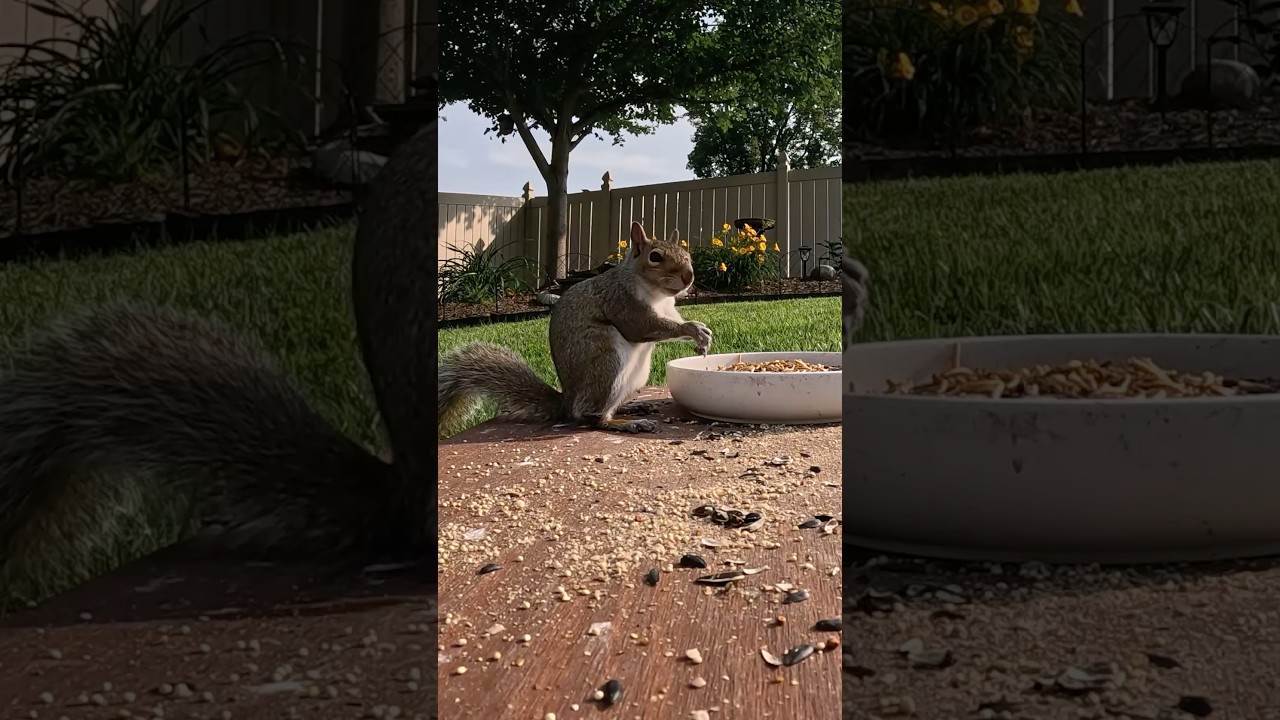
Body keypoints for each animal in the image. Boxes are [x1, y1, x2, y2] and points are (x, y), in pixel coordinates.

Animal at [438, 221, 713, 436]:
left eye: (686, 253)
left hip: (635, 376)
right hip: (607, 363)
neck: (657, 295)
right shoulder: (621, 301)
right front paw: (693, 329)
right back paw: (625, 423)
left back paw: (631, 407)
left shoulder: (667, 309)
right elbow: (643, 327)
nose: (689, 276)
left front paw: (703, 335)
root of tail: (566, 402)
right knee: (591, 417)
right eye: (655, 256)